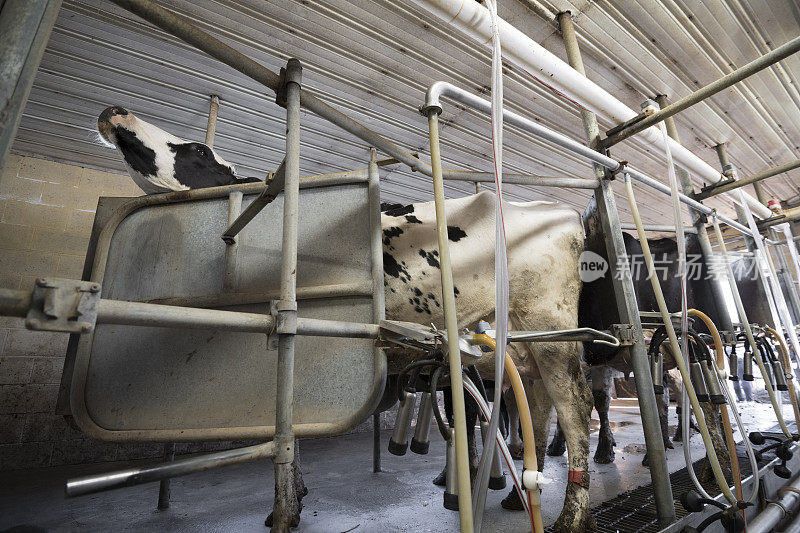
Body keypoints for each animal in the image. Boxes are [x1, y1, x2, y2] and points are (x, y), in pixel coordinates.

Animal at [98, 108, 592, 532]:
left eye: (199, 150)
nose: (117, 110)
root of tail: (560, 211)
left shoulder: (295, 330)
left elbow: (286, 424)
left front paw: (285, 508)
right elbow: (290, 427)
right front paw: (294, 499)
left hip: (553, 330)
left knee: (575, 408)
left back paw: (573, 515)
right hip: (524, 346)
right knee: (538, 406)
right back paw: (519, 497)